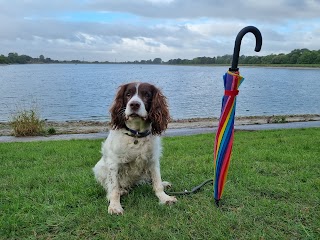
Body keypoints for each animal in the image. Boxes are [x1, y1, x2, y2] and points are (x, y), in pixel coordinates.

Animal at [92, 81, 178, 215]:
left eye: (146, 95)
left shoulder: (153, 160)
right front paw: (115, 206)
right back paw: (121, 191)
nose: (134, 104)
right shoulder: (113, 163)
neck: (136, 135)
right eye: (128, 94)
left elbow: (157, 182)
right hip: (99, 168)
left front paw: (165, 198)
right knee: (109, 185)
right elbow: (113, 188)